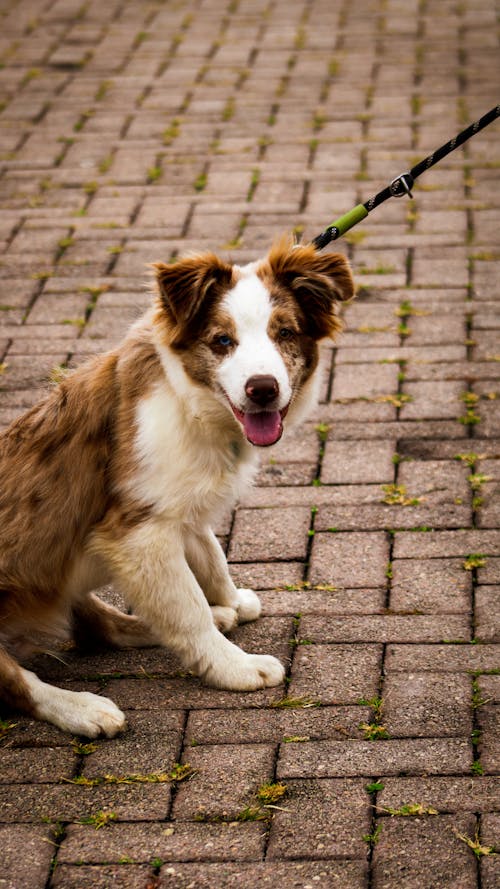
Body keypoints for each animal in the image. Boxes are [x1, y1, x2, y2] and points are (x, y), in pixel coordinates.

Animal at [0, 238, 356, 736]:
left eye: (285, 333)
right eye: (222, 341)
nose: (263, 389)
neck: (192, 403)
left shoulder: (178, 507)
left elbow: (211, 558)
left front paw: (229, 601)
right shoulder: (137, 532)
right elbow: (188, 610)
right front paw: (235, 668)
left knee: (100, 627)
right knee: (16, 681)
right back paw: (80, 708)